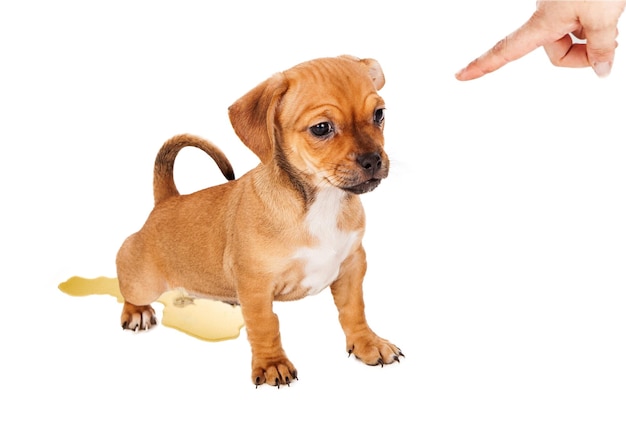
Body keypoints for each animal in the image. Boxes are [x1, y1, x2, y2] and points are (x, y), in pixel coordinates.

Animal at [115, 55, 402, 388]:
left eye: (379, 114)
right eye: (321, 128)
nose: (373, 159)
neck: (320, 203)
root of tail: (166, 200)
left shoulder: (352, 265)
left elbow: (354, 310)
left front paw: (367, 343)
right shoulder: (256, 284)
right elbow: (265, 324)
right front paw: (272, 364)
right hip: (143, 280)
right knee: (127, 284)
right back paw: (137, 310)